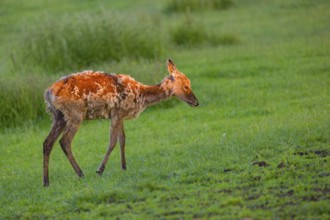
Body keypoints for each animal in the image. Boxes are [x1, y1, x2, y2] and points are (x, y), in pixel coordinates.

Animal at [43, 58, 199, 186]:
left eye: (190, 83)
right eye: (186, 86)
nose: (196, 102)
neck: (140, 95)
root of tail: (48, 93)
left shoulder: (120, 115)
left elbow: (122, 140)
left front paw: (124, 167)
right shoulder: (117, 113)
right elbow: (112, 142)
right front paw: (100, 170)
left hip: (58, 116)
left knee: (47, 142)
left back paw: (46, 181)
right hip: (75, 113)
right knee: (64, 141)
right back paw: (80, 173)